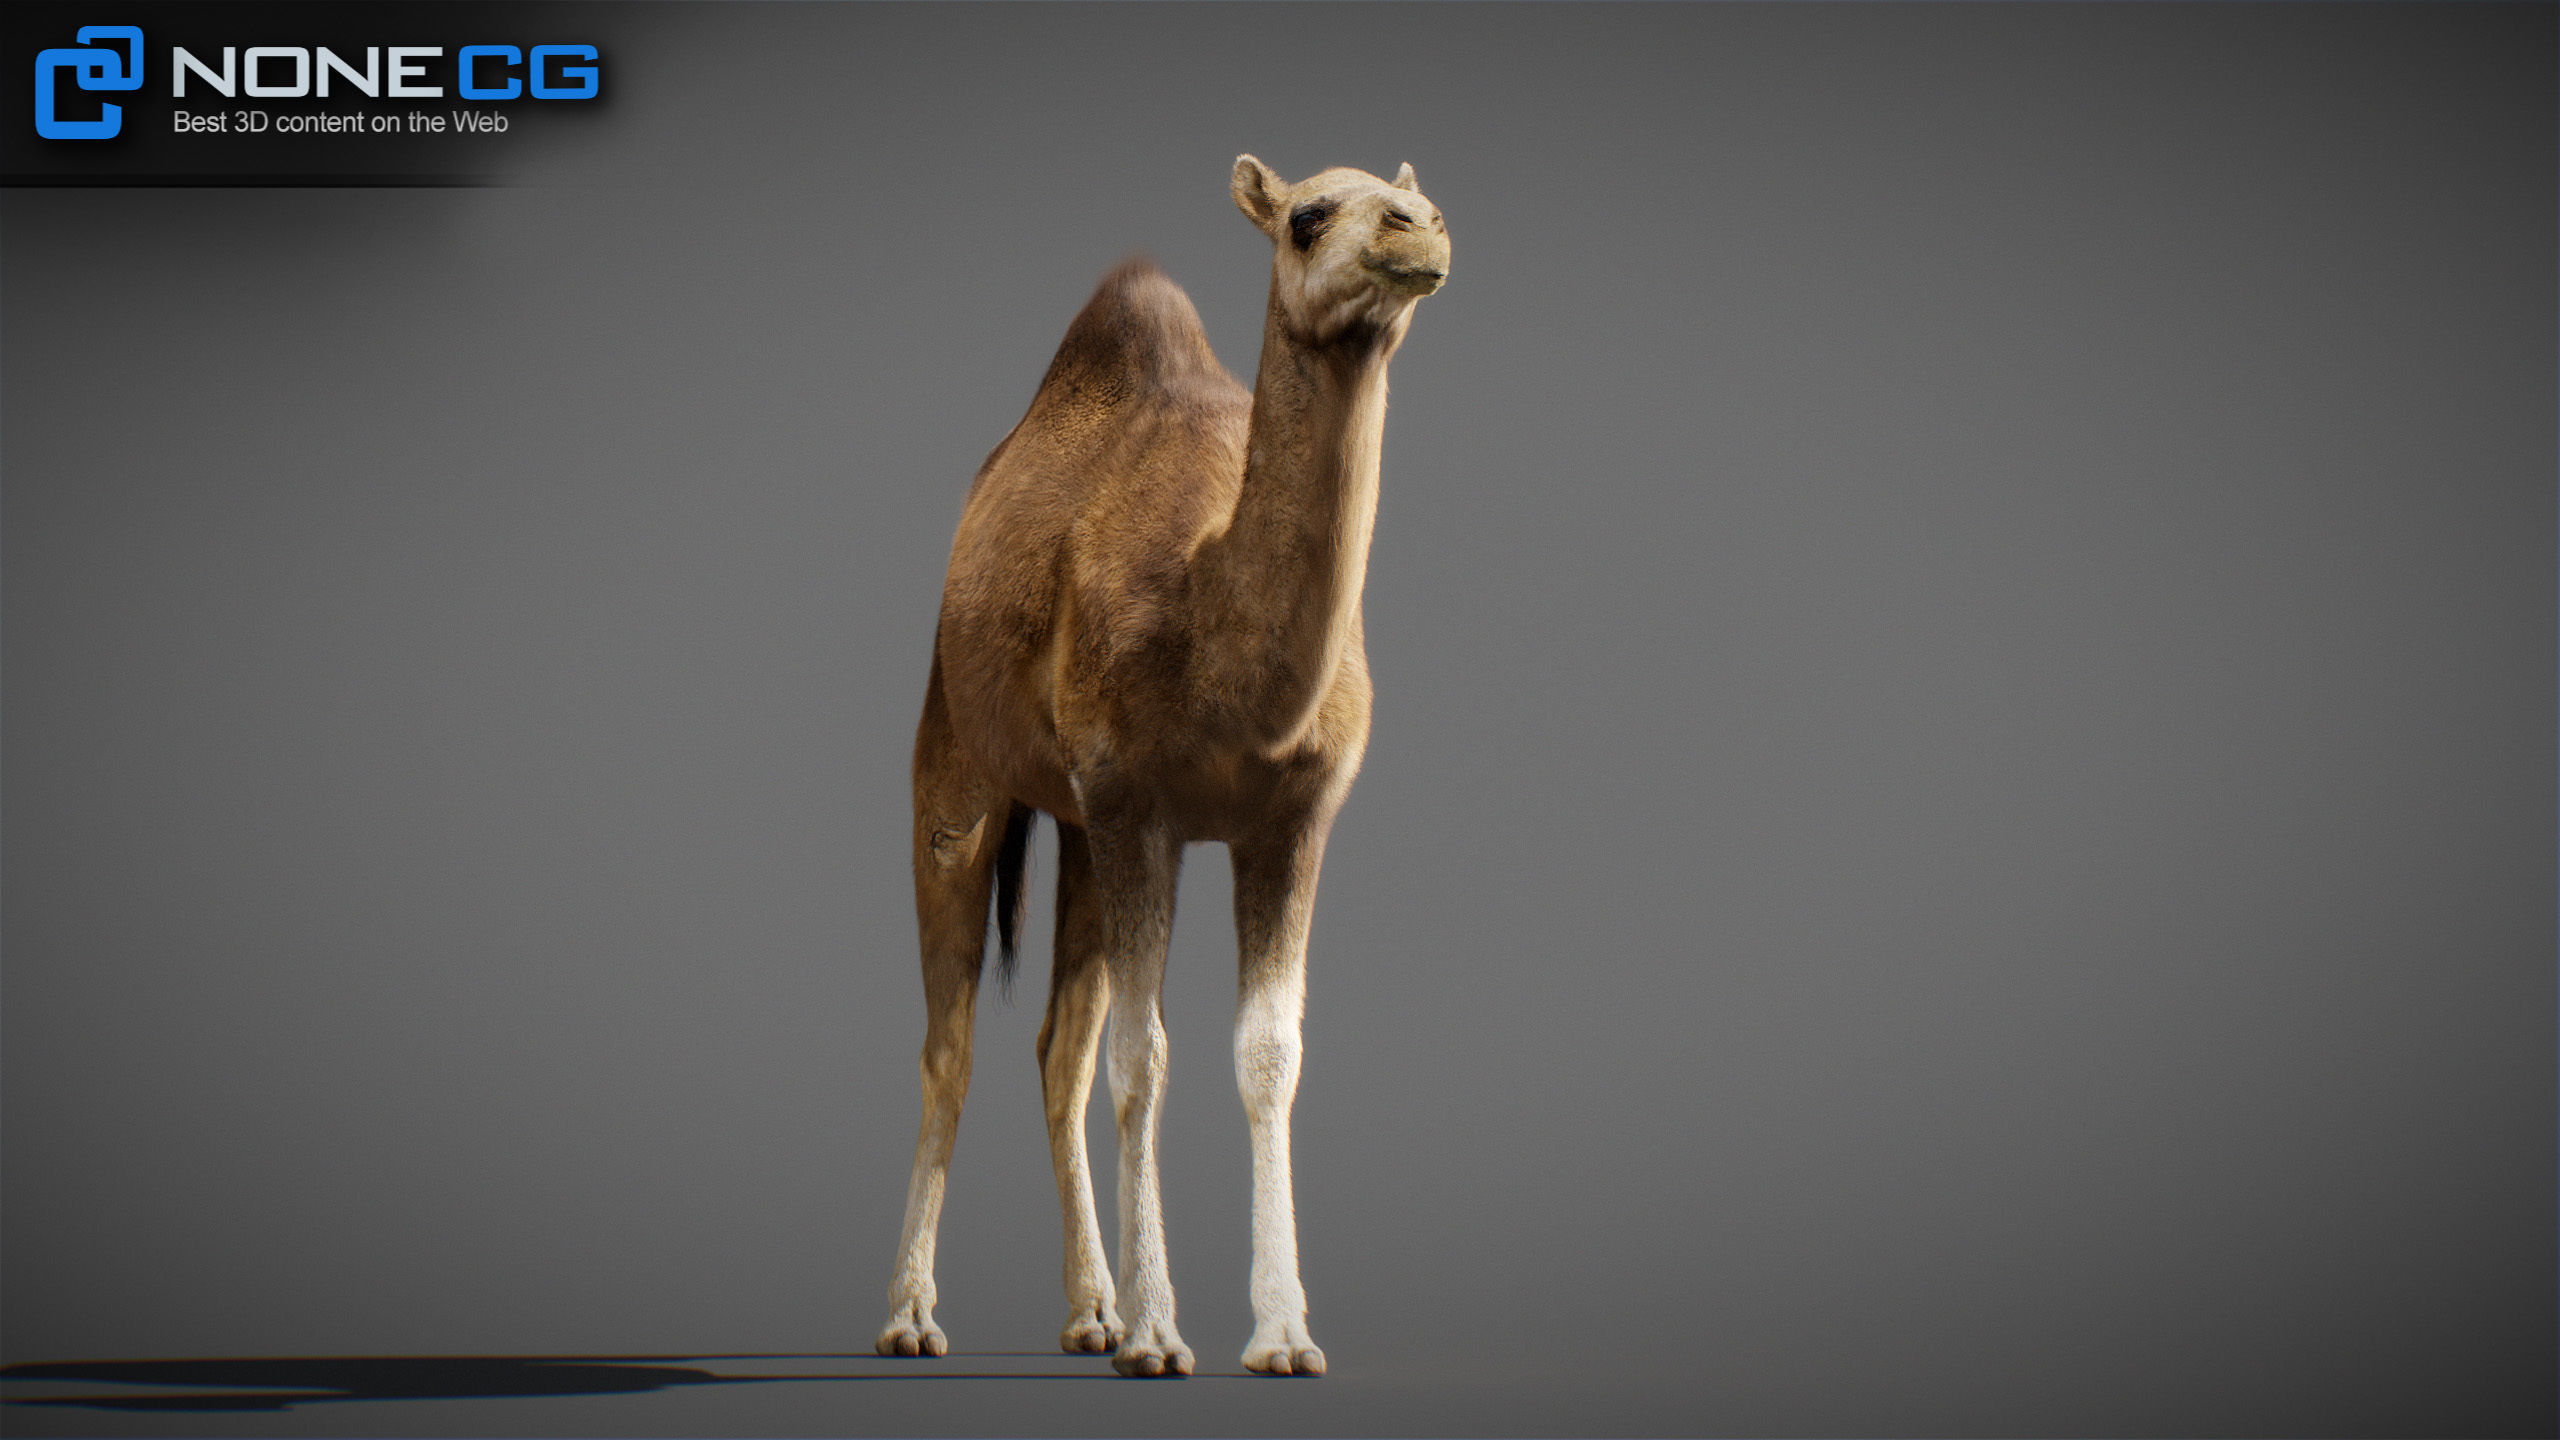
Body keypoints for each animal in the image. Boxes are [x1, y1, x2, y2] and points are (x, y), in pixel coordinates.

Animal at [874, 155, 1448, 1379]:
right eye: (1306, 216)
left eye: (1416, 201)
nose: (1418, 229)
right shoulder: (1138, 802)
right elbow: (1145, 1056)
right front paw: (1157, 1335)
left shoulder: (1290, 819)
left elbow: (1267, 1052)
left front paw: (1279, 1335)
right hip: (956, 750)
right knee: (951, 1040)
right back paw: (912, 1317)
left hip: (1082, 829)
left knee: (1058, 1046)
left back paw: (1087, 1311)